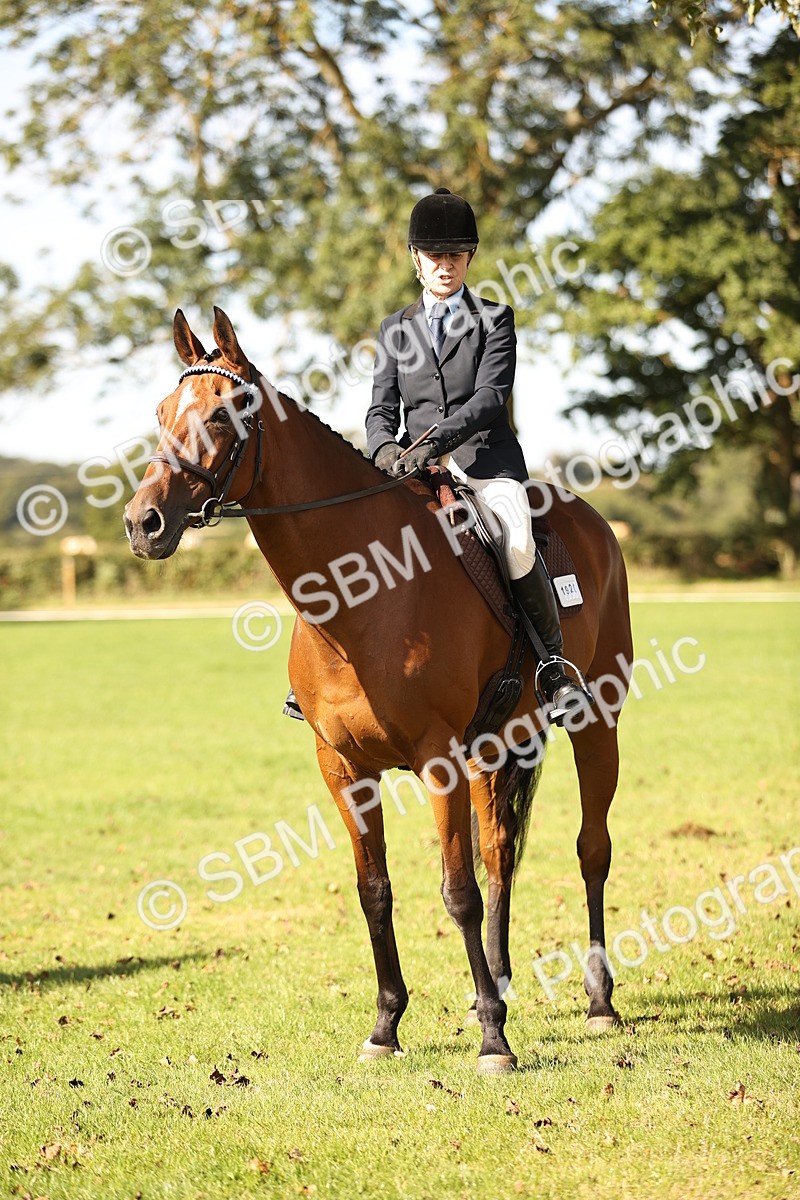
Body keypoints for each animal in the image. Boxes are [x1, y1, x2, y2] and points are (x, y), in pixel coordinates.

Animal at [124, 307, 633, 1075]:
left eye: (223, 414)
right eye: (159, 413)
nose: (142, 523)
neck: (359, 597)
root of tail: (592, 519)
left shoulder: (436, 759)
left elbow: (456, 893)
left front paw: (493, 1042)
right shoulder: (343, 768)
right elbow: (375, 892)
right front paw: (387, 1026)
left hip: (596, 722)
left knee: (589, 849)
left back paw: (596, 1001)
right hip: (496, 743)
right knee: (500, 853)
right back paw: (497, 983)